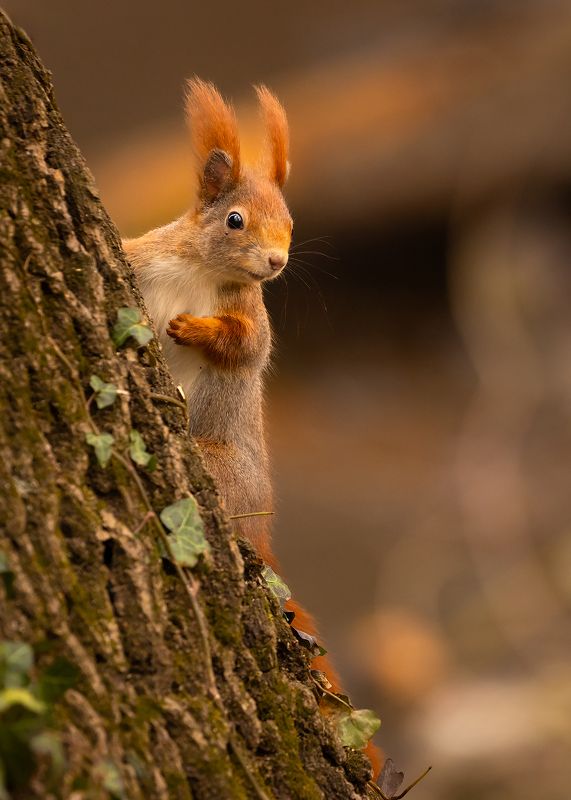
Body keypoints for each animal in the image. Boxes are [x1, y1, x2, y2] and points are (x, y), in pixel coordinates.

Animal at [123, 79, 381, 776]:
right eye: (235, 219)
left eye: (292, 222)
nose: (276, 261)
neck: (203, 272)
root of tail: (258, 525)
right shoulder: (144, 259)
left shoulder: (251, 314)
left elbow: (241, 347)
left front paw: (192, 328)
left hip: (215, 467)